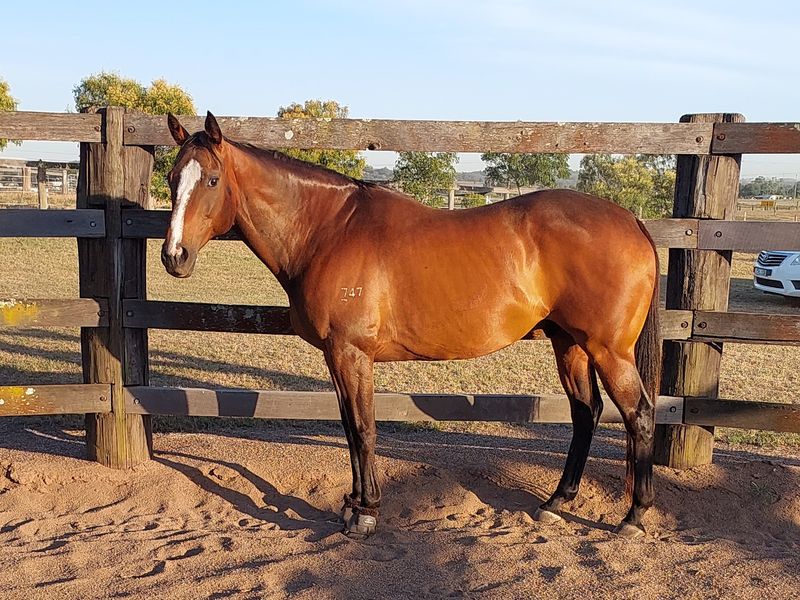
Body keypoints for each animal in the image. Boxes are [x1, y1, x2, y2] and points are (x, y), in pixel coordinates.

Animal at [161, 112, 661, 540]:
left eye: (211, 179)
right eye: (171, 179)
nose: (173, 257)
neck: (327, 230)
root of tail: (633, 220)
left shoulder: (351, 353)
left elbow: (364, 429)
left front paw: (365, 514)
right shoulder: (337, 357)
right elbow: (349, 429)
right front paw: (352, 505)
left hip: (608, 351)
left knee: (638, 414)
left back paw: (634, 517)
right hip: (569, 344)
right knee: (586, 413)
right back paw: (557, 502)